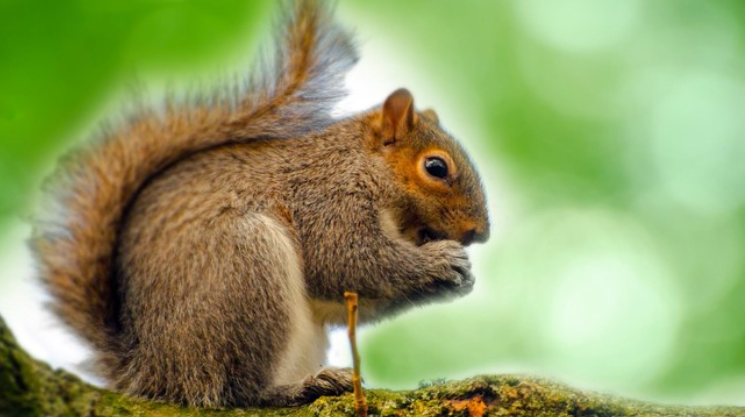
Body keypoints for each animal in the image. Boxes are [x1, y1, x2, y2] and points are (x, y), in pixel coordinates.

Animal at [30, 0, 488, 408]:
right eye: (435, 167)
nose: (479, 234)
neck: (361, 167)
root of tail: (151, 370)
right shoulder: (328, 200)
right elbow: (348, 261)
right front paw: (442, 262)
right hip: (245, 272)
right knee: (236, 390)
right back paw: (298, 388)